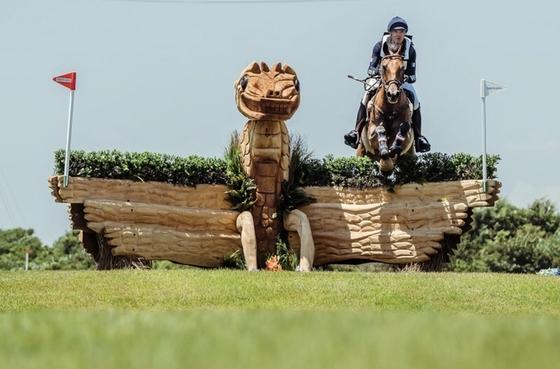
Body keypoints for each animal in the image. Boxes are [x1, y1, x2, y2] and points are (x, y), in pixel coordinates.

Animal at [356, 40, 414, 175]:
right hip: (360, 152)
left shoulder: (407, 138)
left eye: (402, 67)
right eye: (383, 66)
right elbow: (379, 129)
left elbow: (404, 127)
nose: (392, 94)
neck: (390, 109)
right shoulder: (370, 134)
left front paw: (394, 146)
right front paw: (384, 149)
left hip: (410, 155)